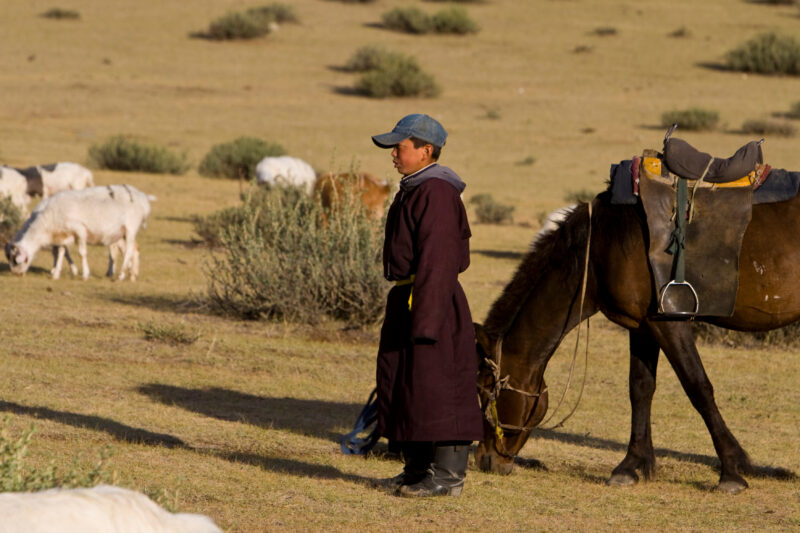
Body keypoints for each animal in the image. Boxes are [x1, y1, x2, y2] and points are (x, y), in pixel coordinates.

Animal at [5, 185, 154, 281]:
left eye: (15, 261)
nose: (17, 274)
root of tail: (143, 198)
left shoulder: (79, 230)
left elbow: (82, 253)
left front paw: (84, 274)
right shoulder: (63, 235)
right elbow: (61, 252)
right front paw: (56, 274)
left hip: (131, 227)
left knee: (128, 251)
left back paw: (121, 275)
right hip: (120, 233)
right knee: (133, 250)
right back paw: (132, 275)